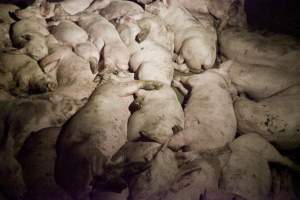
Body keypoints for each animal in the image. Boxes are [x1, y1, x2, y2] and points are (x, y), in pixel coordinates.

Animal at [55, 72, 164, 200]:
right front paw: (158, 85)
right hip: (88, 153)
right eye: (116, 71)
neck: (110, 82)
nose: (131, 73)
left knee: (107, 173)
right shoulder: (118, 88)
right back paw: (135, 172)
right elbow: (134, 83)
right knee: (105, 171)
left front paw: (138, 104)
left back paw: (130, 176)